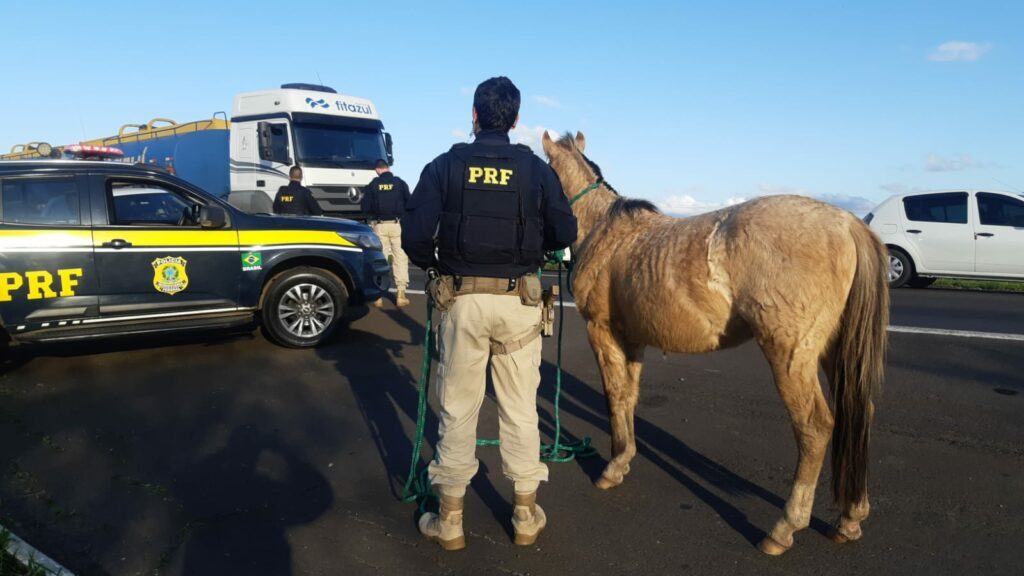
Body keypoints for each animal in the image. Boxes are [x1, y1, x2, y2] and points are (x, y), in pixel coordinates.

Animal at [544, 130, 888, 553]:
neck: (607, 234)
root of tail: (847, 224)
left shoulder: (602, 331)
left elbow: (614, 396)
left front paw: (612, 467)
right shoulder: (633, 341)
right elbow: (628, 398)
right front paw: (624, 459)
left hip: (790, 357)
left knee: (815, 427)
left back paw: (784, 528)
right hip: (834, 353)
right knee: (860, 413)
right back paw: (850, 518)